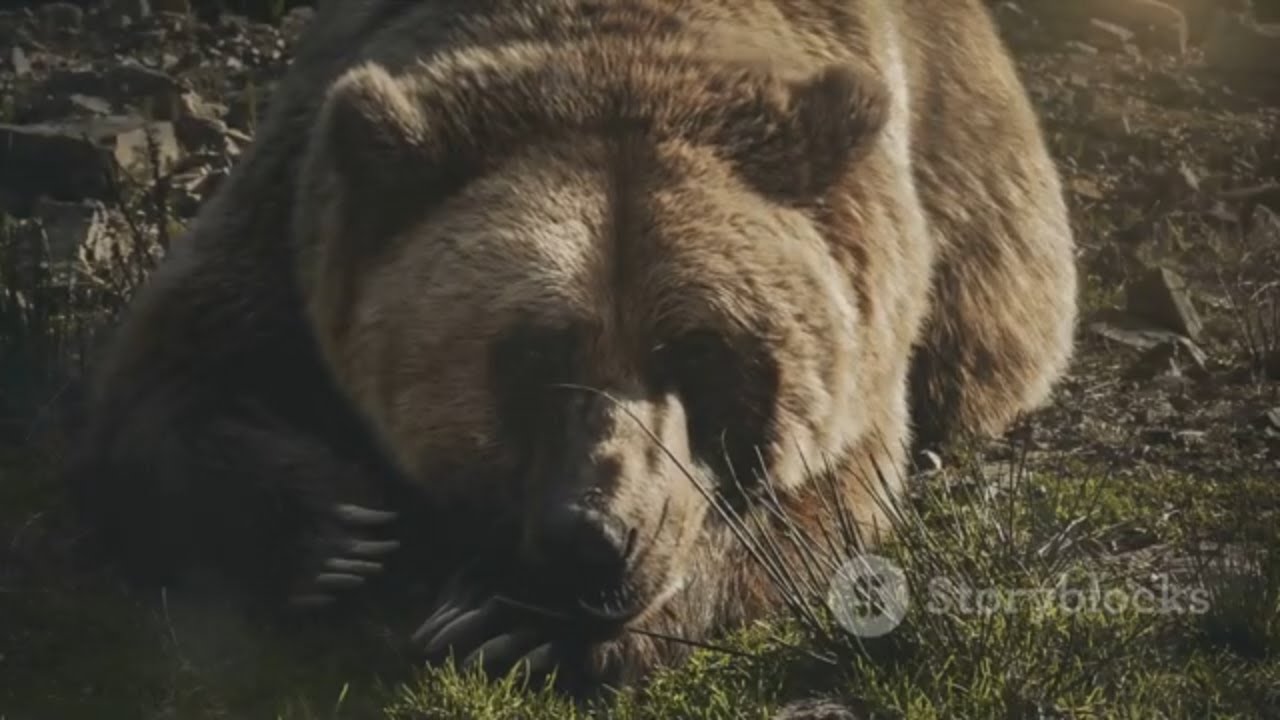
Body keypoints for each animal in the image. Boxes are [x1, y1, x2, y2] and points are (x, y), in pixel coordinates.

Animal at [65, 0, 1077, 696]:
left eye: (699, 351)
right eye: (533, 352)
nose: (595, 536)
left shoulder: (864, 331)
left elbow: (815, 505)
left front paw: (515, 623)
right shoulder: (299, 206)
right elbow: (172, 375)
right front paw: (341, 534)